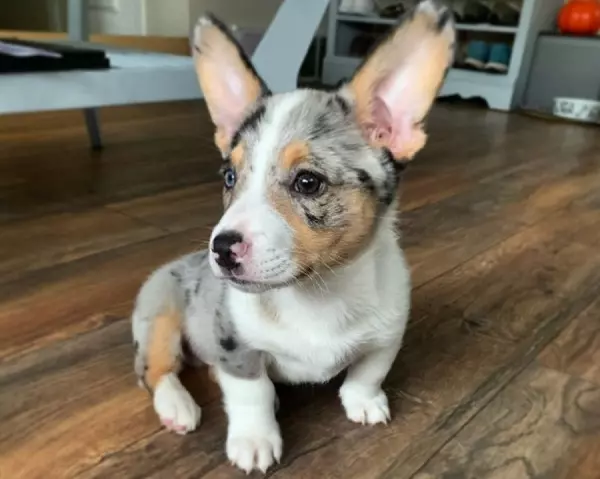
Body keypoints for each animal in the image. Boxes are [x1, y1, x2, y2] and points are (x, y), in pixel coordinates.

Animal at [131, 0, 454, 472]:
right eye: (229, 176)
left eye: (307, 182)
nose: (220, 248)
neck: (317, 295)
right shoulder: (235, 347)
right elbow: (253, 393)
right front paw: (254, 440)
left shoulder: (387, 335)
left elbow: (368, 372)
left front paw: (364, 402)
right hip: (159, 322)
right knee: (155, 371)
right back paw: (178, 406)